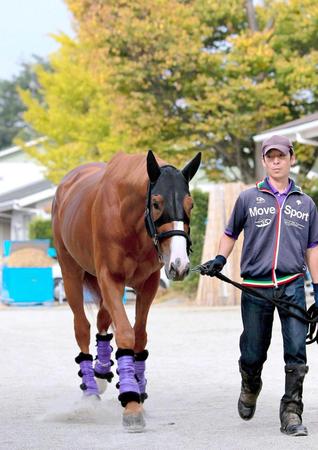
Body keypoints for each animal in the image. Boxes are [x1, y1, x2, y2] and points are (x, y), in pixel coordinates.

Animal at [52, 149, 201, 430]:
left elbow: (139, 335)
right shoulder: (110, 278)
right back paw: (90, 389)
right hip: (70, 272)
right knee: (82, 327)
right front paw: (131, 401)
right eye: (156, 203)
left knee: (102, 320)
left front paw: (137, 386)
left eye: (191, 204)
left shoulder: (149, 283)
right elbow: (124, 333)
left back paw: (101, 373)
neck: (130, 220)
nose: (179, 265)